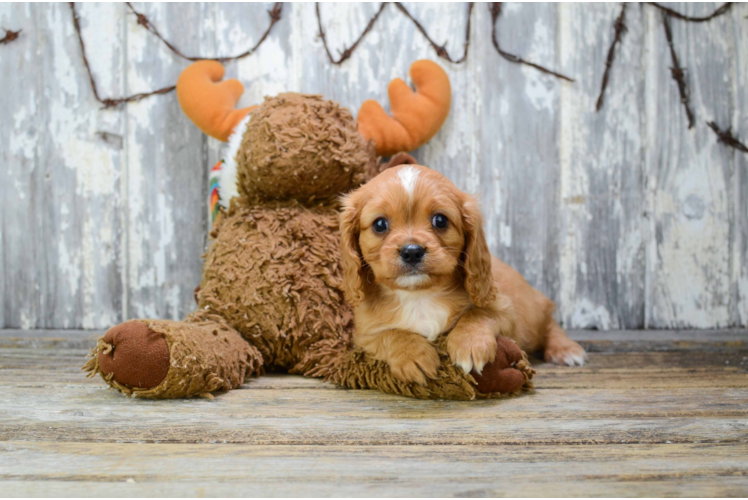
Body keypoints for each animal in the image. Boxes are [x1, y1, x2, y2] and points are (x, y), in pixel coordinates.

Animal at [338, 166, 584, 384]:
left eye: (440, 220)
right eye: (379, 224)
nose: (412, 251)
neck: (419, 295)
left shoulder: (507, 312)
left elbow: (478, 313)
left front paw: (470, 344)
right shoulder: (363, 336)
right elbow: (391, 334)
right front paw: (413, 355)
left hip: (530, 315)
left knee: (549, 322)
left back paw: (565, 349)